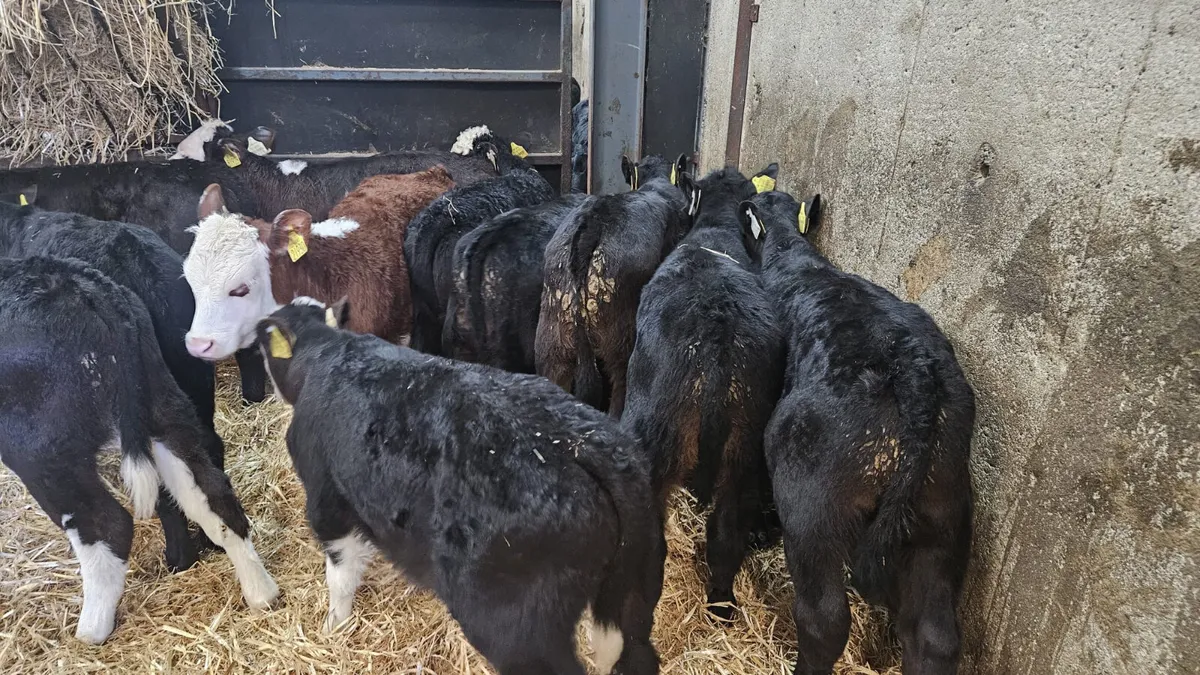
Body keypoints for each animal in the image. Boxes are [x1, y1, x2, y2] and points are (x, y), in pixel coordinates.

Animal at [0, 256, 278, 644]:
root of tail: (83, 289)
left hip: (41, 446)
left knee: (106, 522)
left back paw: (92, 627)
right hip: (163, 407)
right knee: (212, 494)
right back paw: (261, 592)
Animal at [255, 298, 663, 675]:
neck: (327, 352)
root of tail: (579, 444)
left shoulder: (326, 499)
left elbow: (340, 575)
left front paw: (333, 624)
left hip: (515, 627)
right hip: (637, 590)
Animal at [621, 165, 783, 621]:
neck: (716, 232)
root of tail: (716, 351)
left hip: (655, 436)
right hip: (745, 450)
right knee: (727, 531)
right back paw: (721, 605)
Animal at [741, 190, 975, 675]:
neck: (793, 258)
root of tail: (914, 374)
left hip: (812, 509)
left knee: (825, 619)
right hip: (942, 521)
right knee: (934, 636)